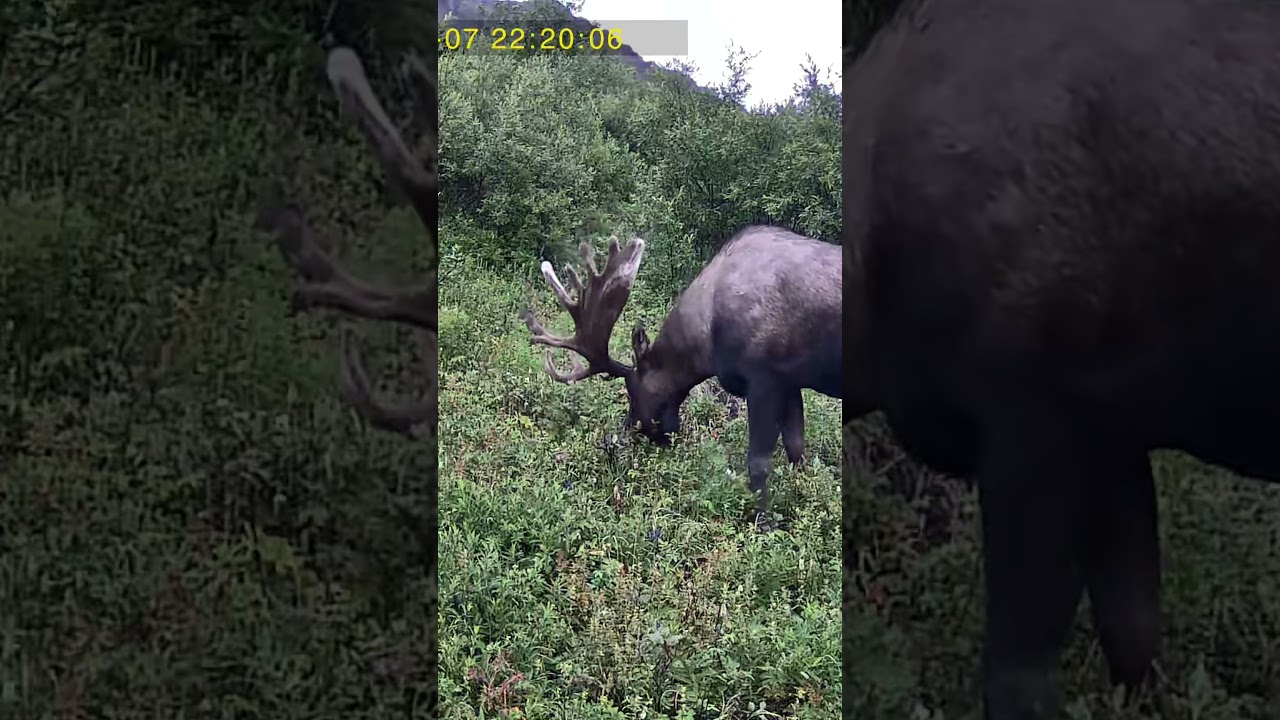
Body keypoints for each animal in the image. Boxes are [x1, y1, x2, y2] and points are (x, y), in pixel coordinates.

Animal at [520, 225, 841, 520]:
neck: (707, 341)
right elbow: (797, 452)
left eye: (632, 391)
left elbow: (759, 464)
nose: (617, 442)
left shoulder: (764, 379)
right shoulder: (791, 382)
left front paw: (764, 522)